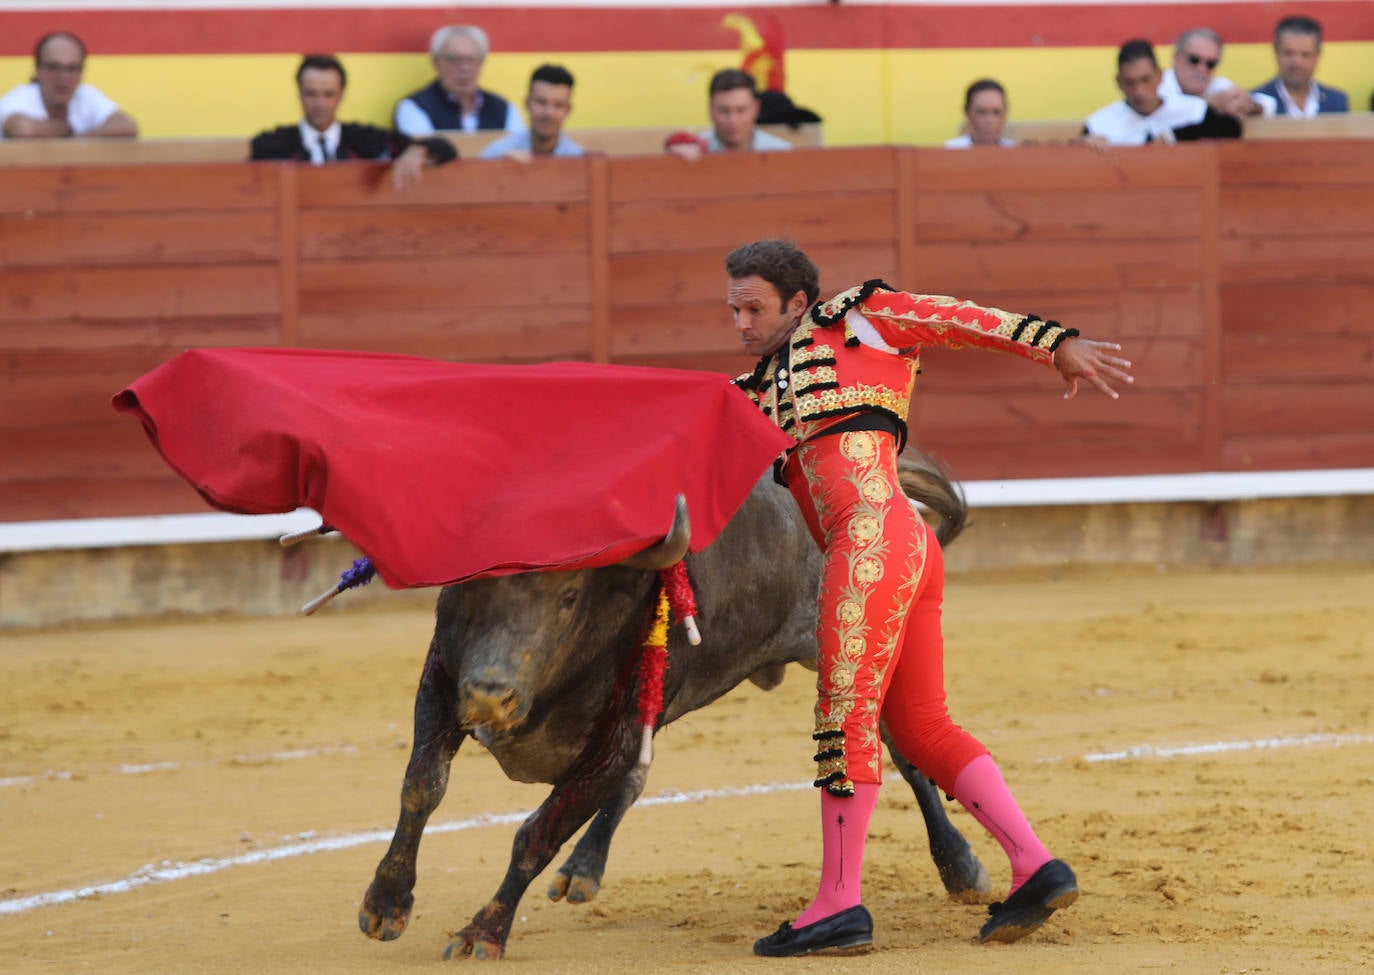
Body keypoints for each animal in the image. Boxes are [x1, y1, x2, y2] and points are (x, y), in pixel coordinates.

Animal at [359, 450, 994, 961]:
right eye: (471, 585)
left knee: (901, 751)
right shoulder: (443, 680)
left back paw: (962, 868)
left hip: (850, 653)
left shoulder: (612, 738)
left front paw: (482, 934)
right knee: (636, 781)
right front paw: (386, 903)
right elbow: (422, 787)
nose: (491, 695)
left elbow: (537, 833)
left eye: (569, 595)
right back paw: (583, 870)